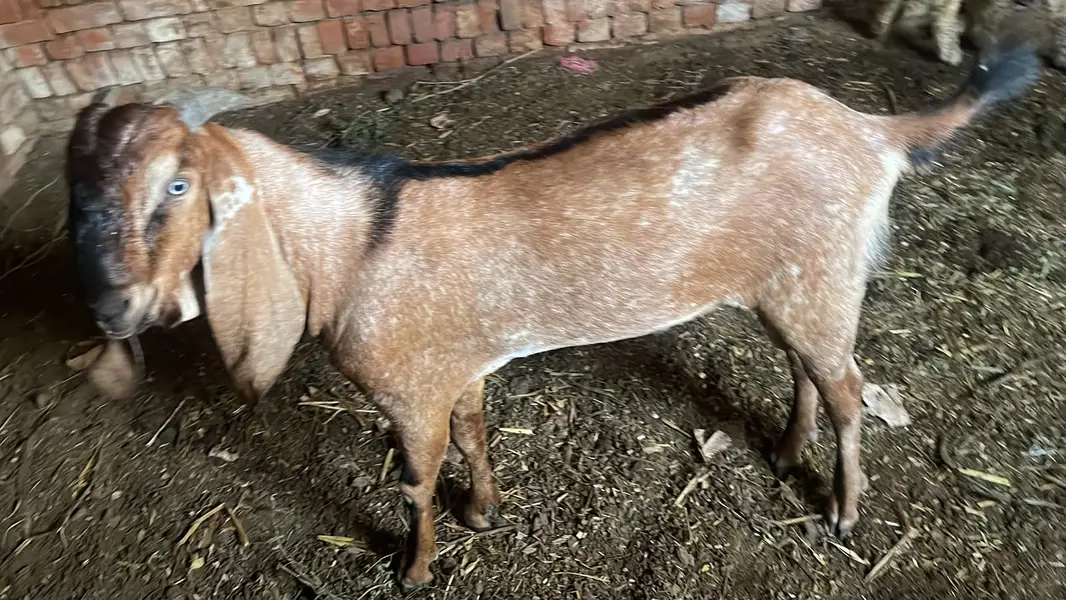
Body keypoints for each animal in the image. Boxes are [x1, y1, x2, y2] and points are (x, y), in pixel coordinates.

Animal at [65, 42, 1040, 589]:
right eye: (80, 183)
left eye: (178, 185)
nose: (112, 302)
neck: (348, 247)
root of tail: (875, 132)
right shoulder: (455, 365)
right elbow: (473, 434)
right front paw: (485, 511)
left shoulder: (405, 388)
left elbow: (415, 478)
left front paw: (415, 565)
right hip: (791, 285)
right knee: (806, 366)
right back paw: (785, 450)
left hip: (824, 275)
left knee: (847, 385)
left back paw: (841, 510)